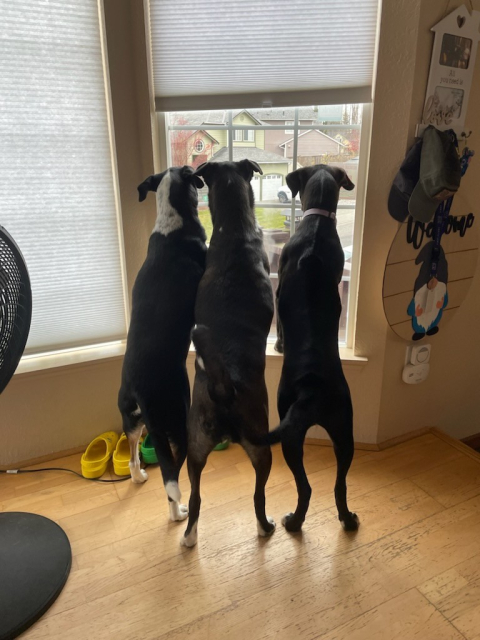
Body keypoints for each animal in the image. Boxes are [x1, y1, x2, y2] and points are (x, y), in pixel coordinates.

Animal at [266, 162, 360, 532]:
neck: (317, 221)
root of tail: (313, 389)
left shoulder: (278, 290)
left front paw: (278, 345)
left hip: (289, 429)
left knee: (304, 486)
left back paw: (294, 522)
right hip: (345, 430)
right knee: (340, 484)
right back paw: (348, 519)